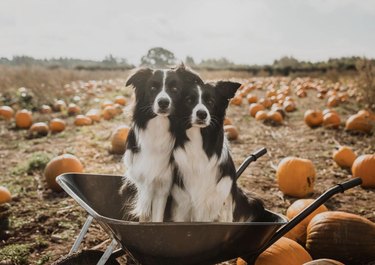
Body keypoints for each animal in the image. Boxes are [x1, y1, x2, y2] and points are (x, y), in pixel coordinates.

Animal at [123, 64, 204, 221]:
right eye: (153, 88)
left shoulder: (164, 185)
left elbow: (157, 218)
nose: (163, 102)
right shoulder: (143, 182)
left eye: (175, 89)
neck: (159, 126)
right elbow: (144, 216)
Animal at [170, 80, 264, 221]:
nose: (202, 114)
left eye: (210, 101)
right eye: (189, 100)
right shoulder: (181, 202)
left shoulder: (222, 200)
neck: (199, 141)